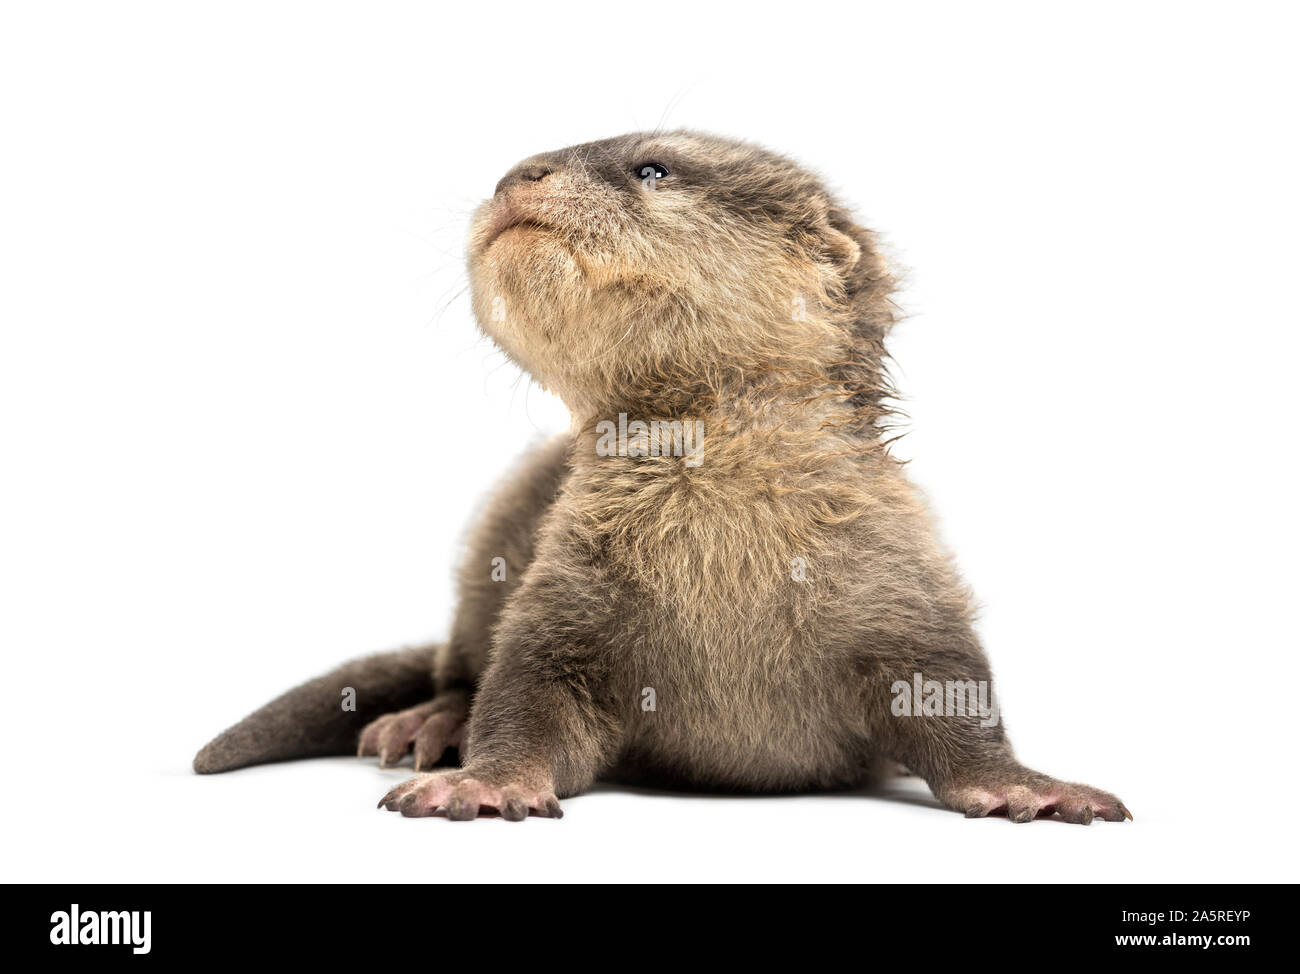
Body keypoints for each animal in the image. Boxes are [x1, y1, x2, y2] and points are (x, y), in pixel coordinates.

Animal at [192, 129, 1128, 827]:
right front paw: (479, 781)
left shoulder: (904, 586)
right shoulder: (561, 597)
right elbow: (521, 697)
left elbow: (955, 702)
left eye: (652, 169)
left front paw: (1029, 789)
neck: (727, 554)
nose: (517, 173)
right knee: (461, 662)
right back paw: (426, 722)